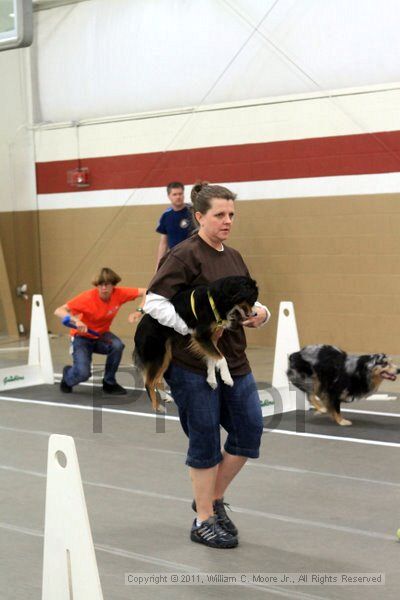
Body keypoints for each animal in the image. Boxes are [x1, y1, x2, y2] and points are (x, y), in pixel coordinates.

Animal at [134, 276, 260, 412]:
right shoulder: (201, 336)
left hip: (165, 355)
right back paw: (157, 407)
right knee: (148, 382)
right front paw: (227, 378)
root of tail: (138, 331)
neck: (218, 299)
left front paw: (211, 380)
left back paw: (165, 397)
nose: (256, 314)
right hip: (157, 355)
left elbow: (212, 358)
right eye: (252, 299)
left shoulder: (211, 337)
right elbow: (221, 358)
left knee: (156, 379)